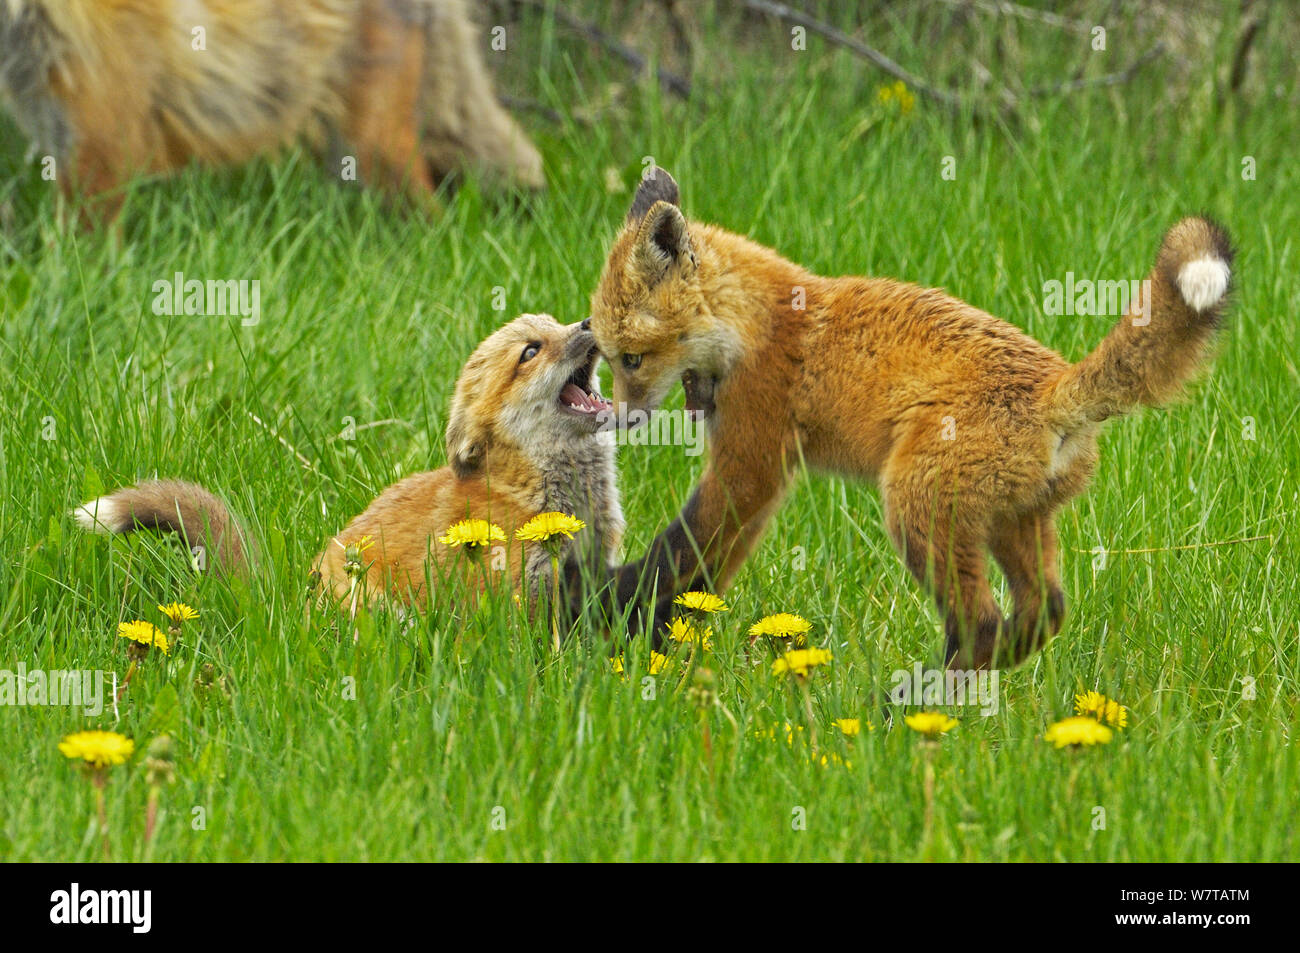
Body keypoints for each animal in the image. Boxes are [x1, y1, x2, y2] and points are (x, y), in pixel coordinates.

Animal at [578, 168, 1233, 670]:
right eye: (606, 359)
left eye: (632, 358)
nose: (619, 420)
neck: (754, 326)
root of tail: (1054, 387)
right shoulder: (757, 483)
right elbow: (702, 572)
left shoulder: (751, 465)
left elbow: (677, 553)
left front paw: (615, 613)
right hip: (1013, 522)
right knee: (1042, 613)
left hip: (916, 508)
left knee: (981, 624)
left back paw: (902, 711)